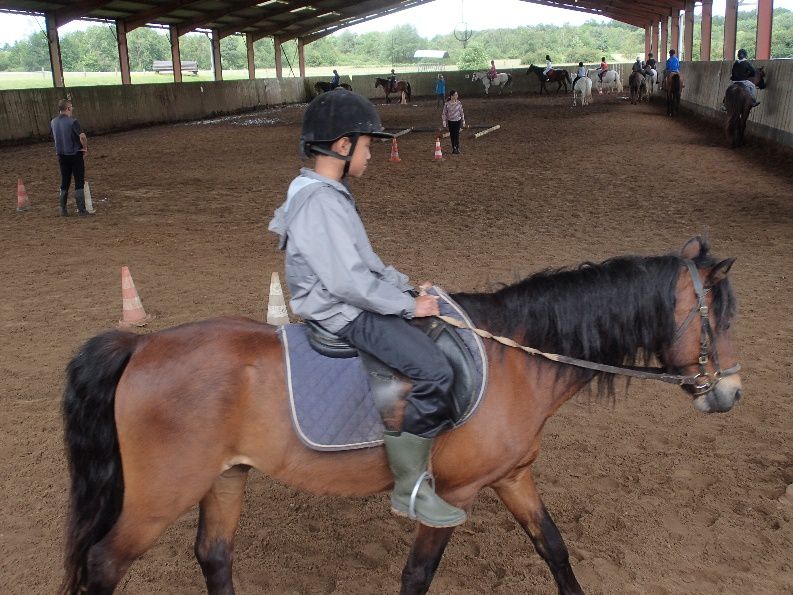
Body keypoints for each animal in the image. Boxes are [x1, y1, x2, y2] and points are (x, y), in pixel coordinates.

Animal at [63, 237, 744, 595]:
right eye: (718, 316)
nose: (731, 392)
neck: (518, 357)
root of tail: (142, 346)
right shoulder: (455, 494)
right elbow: (418, 576)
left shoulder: (513, 476)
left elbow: (552, 546)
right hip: (161, 494)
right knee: (104, 563)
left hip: (224, 477)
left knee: (214, 555)